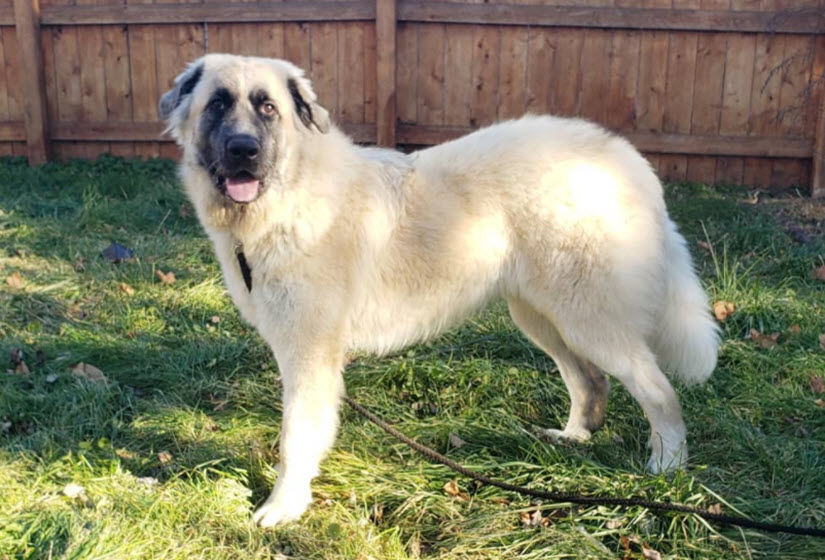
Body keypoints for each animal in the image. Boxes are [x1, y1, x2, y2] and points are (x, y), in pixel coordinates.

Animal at [158, 54, 716, 528]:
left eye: (267, 108)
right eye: (217, 105)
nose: (243, 151)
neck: (288, 194)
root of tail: (628, 160)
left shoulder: (309, 353)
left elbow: (295, 437)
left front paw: (284, 506)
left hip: (588, 317)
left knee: (657, 390)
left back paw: (667, 467)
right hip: (542, 316)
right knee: (590, 382)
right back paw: (574, 438)